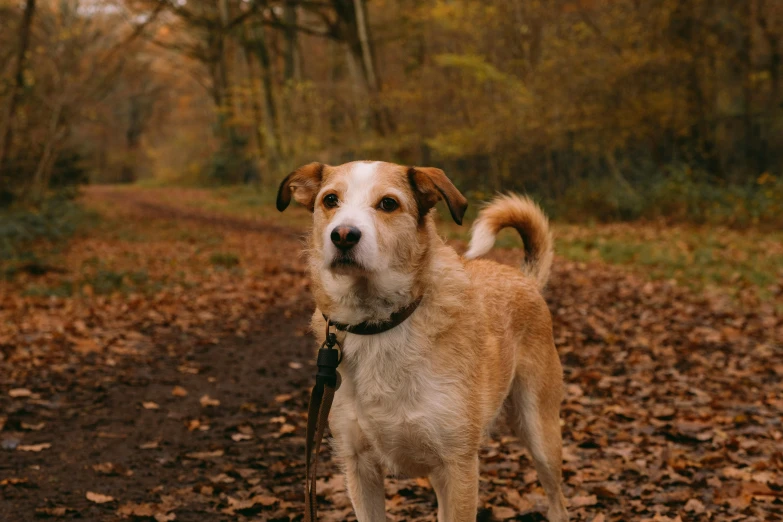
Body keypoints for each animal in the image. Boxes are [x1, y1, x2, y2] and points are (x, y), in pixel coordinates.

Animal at [278, 160, 568, 516]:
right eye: (330, 200)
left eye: (388, 203)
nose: (343, 235)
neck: (380, 324)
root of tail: (524, 278)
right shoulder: (360, 468)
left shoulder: (457, 468)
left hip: (540, 434)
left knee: (558, 502)